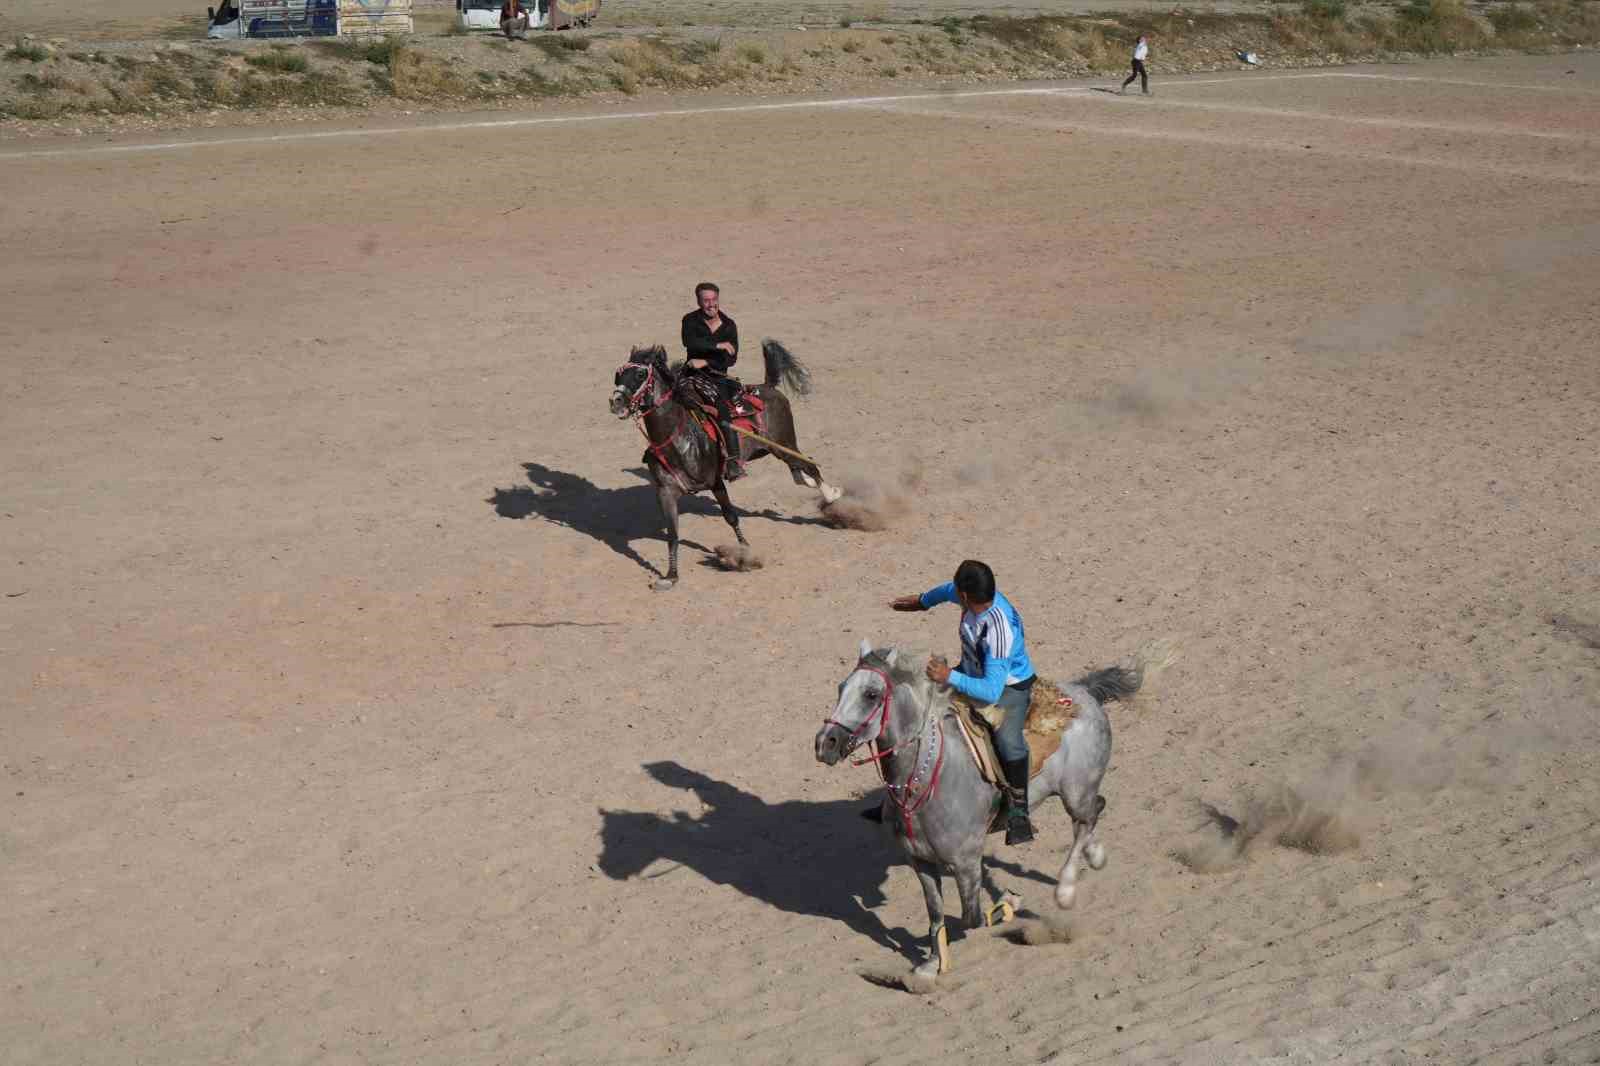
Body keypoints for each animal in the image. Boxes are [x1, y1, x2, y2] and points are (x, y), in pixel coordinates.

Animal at [604, 340, 844, 589]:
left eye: (641, 374)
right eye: (618, 374)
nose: (616, 402)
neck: (678, 435)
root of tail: (768, 387)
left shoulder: (716, 482)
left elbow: (731, 516)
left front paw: (744, 552)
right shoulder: (666, 492)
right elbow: (672, 534)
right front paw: (670, 576)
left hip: (784, 444)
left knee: (810, 465)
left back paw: (832, 495)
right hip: (773, 449)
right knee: (798, 473)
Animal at [819, 640, 1171, 979]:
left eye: (871, 694)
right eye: (841, 687)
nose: (825, 744)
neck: (926, 778)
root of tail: (1085, 692)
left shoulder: (966, 863)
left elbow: (971, 918)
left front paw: (1009, 902)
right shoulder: (920, 862)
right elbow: (935, 913)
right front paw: (931, 965)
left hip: (1075, 792)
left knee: (1086, 819)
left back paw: (1066, 889)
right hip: (1078, 793)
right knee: (1094, 812)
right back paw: (1095, 856)